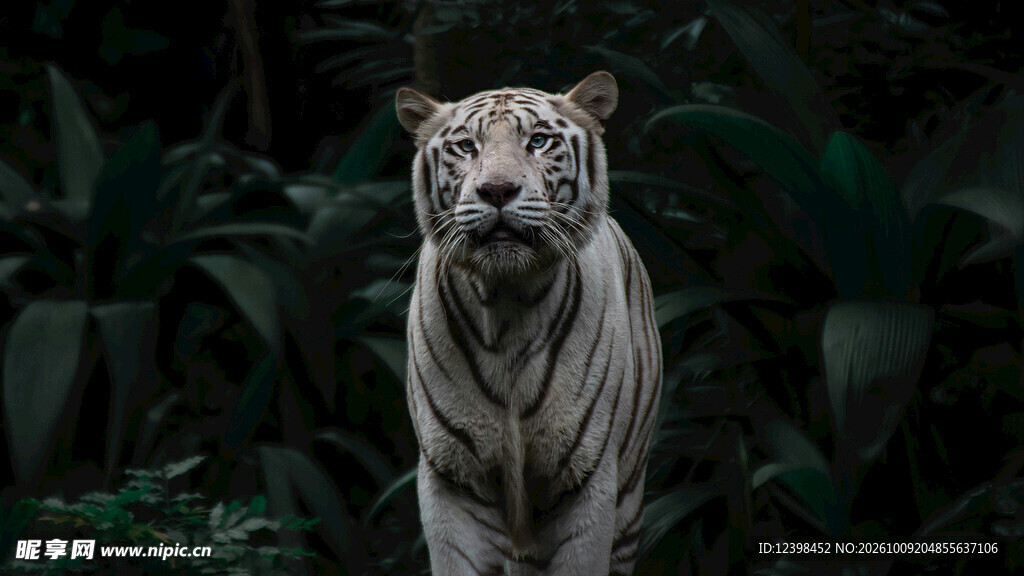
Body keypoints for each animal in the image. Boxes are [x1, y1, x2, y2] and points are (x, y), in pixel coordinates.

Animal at [395, 71, 662, 576]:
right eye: (466, 146)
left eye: (538, 141)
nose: (498, 190)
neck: (506, 305)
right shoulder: (452, 479)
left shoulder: (587, 479)